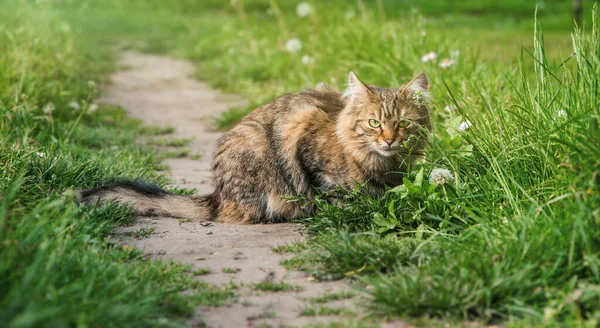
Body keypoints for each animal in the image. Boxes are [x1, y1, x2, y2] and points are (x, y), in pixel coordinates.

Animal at [79, 72, 432, 224]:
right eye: (374, 123)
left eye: (403, 123)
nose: (389, 139)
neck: (380, 164)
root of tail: (217, 197)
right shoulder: (301, 132)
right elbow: (334, 192)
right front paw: (352, 207)